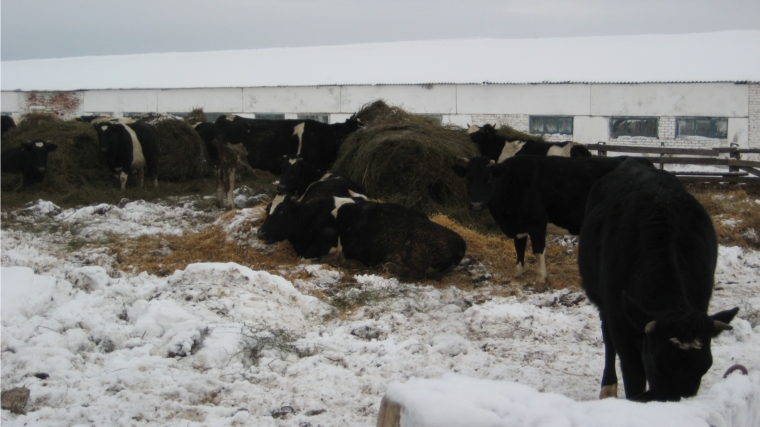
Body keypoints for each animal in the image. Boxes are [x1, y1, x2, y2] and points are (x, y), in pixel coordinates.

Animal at [258, 195, 466, 280]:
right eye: (268, 210)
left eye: (282, 212)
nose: (261, 233)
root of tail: (461, 243)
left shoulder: (325, 245)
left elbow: (306, 260)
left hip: (417, 246)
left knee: (416, 273)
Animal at [452, 155, 652, 282]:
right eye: (468, 180)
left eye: (488, 179)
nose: (476, 204)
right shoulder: (519, 226)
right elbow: (519, 247)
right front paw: (518, 272)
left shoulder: (537, 223)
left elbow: (538, 250)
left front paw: (541, 277)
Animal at [580, 159, 740, 402]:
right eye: (657, 365)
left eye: (705, 366)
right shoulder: (620, 320)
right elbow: (634, 377)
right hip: (602, 303)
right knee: (608, 341)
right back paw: (608, 388)